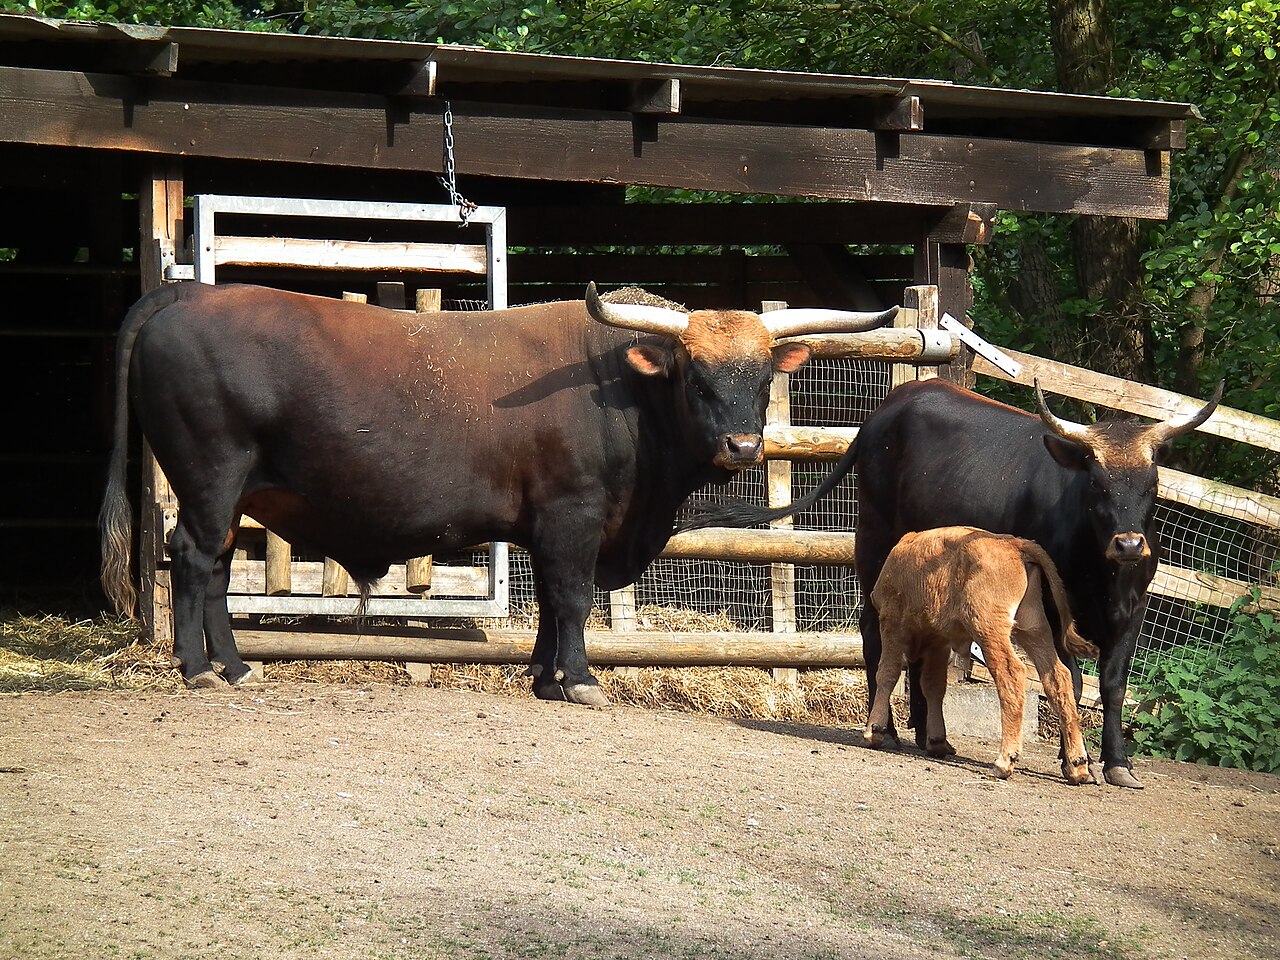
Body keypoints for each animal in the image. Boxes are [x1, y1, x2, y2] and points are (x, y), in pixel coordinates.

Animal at [99, 281, 895, 702]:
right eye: (696, 378)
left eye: (761, 382)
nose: (743, 447)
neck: (619, 387)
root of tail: (192, 290)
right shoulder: (573, 514)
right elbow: (572, 597)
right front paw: (580, 680)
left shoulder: (549, 524)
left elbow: (549, 603)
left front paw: (545, 677)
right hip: (211, 476)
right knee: (194, 558)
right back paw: (203, 668)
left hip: (228, 491)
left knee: (209, 563)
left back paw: (230, 665)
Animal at [866, 526, 1099, 784]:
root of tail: (1014, 544)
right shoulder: (938, 640)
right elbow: (934, 686)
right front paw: (937, 741)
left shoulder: (891, 623)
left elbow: (887, 673)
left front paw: (874, 730)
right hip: (1035, 630)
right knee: (1058, 678)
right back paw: (1077, 766)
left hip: (989, 630)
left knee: (1011, 673)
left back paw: (1005, 761)